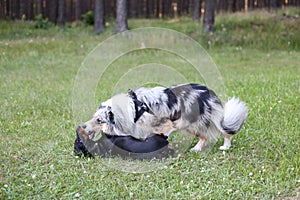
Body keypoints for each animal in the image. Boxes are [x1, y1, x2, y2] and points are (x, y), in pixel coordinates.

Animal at [82, 83, 248, 151]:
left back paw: (224, 146)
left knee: (221, 133)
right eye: (94, 118)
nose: (83, 126)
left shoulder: (165, 124)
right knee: (206, 136)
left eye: (99, 120)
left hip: (189, 123)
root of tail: (208, 91)